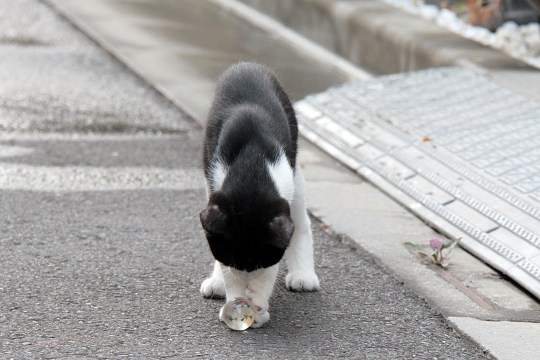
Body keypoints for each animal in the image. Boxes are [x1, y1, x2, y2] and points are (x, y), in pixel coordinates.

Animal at [199, 62, 318, 330]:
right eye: (234, 261)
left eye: (260, 262)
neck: (250, 176)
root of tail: (246, 65)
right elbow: (227, 270)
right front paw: (233, 297)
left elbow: (269, 272)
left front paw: (257, 307)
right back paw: (216, 282)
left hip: (295, 171)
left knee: (301, 222)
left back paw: (303, 275)